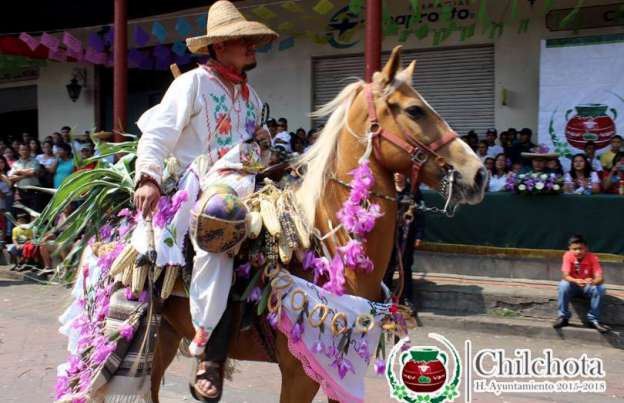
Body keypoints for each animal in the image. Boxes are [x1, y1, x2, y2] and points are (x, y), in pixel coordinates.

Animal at [150, 46, 488, 403]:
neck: (328, 249)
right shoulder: (299, 374)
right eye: (415, 110)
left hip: (168, 333)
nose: (478, 173)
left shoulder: (338, 374)